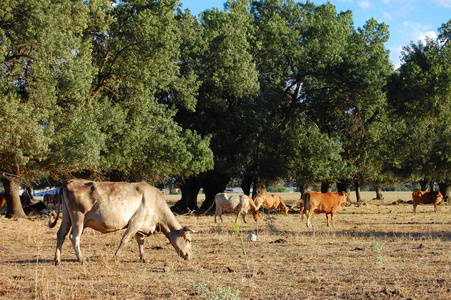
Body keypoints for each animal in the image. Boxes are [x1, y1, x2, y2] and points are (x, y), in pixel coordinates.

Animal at [48, 178, 196, 264]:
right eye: (188, 240)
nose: (190, 256)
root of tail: (69, 181)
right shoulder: (135, 222)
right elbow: (125, 240)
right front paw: (116, 257)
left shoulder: (141, 226)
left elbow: (141, 242)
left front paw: (143, 258)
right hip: (78, 216)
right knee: (74, 237)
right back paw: (81, 259)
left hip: (66, 216)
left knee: (61, 235)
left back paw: (57, 259)